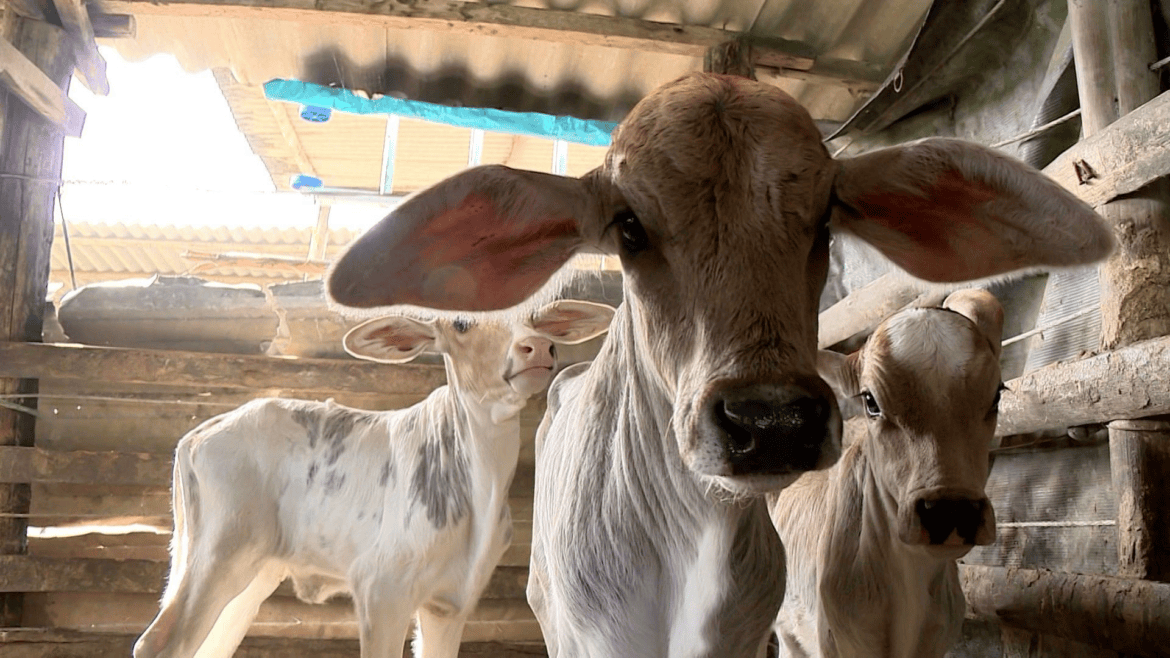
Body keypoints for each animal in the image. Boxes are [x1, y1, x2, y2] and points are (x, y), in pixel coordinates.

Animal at [132, 300, 615, 658]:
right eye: (462, 322)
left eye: (537, 318)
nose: (537, 346)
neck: (480, 494)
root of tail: (202, 431)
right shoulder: (380, 588)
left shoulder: (451, 601)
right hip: (221, 551)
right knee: (160, 642)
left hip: (254, 571)